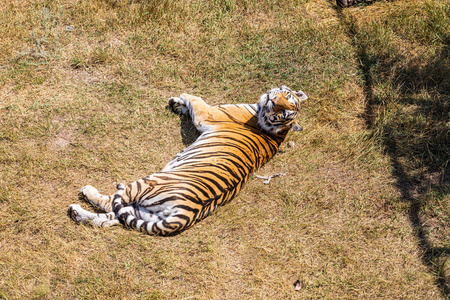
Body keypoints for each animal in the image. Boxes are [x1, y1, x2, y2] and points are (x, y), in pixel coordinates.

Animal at [68, 85, 308, 236]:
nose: (273, 100)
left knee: (111, 203)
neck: (278, 130)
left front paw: (181, 97)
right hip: (145, 212)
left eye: (284, 109)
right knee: (110, 218)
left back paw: (86, 194)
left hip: (148, 182)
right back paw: (78, 214)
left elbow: (195, 100)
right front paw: (177, 104)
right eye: (286, 99)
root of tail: (188, 212)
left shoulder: (208, 114)